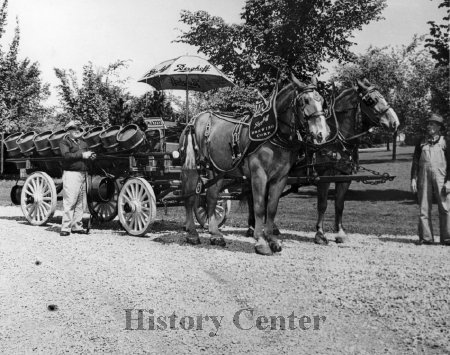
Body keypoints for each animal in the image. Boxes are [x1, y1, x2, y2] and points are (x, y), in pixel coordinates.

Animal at [180, 74, 330, 256]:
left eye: (322, 101)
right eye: (304, 101)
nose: (322, 134)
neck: (273, 135)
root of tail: (194, 120)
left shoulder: (280, 178)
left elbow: (271, 208)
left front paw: (272, 239)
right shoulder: (259, 175)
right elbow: (259, 207)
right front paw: (261, 241)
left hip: (215, 170)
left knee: (211, 197)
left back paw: (215, 234)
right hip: (193, 167)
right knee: (190, 197)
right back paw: (192, 233)